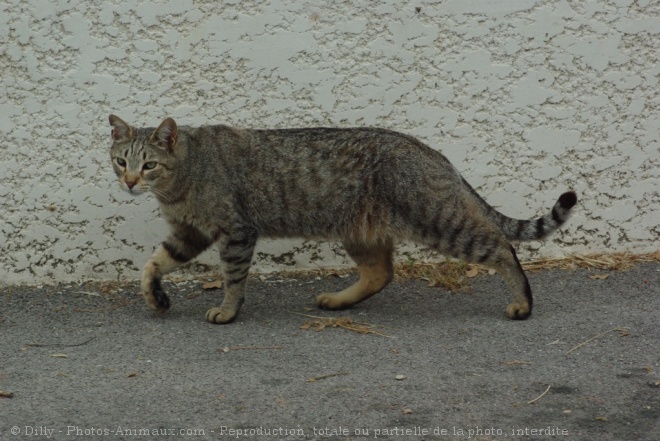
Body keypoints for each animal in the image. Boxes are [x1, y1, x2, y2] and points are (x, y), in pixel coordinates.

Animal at [109, 115, 576, 324]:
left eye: (148, 165)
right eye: (119, 161)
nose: (130, 182)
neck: (181, 180)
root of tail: (432, 152)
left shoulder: (236, 232)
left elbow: (232, 278)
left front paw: (227, 309)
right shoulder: (187, 234)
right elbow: (152, 264)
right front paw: (155, 296)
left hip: (441, 223)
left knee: (502, 247)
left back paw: (522, 301)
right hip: (362, 233)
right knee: (381, 273)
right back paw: (337, 301)